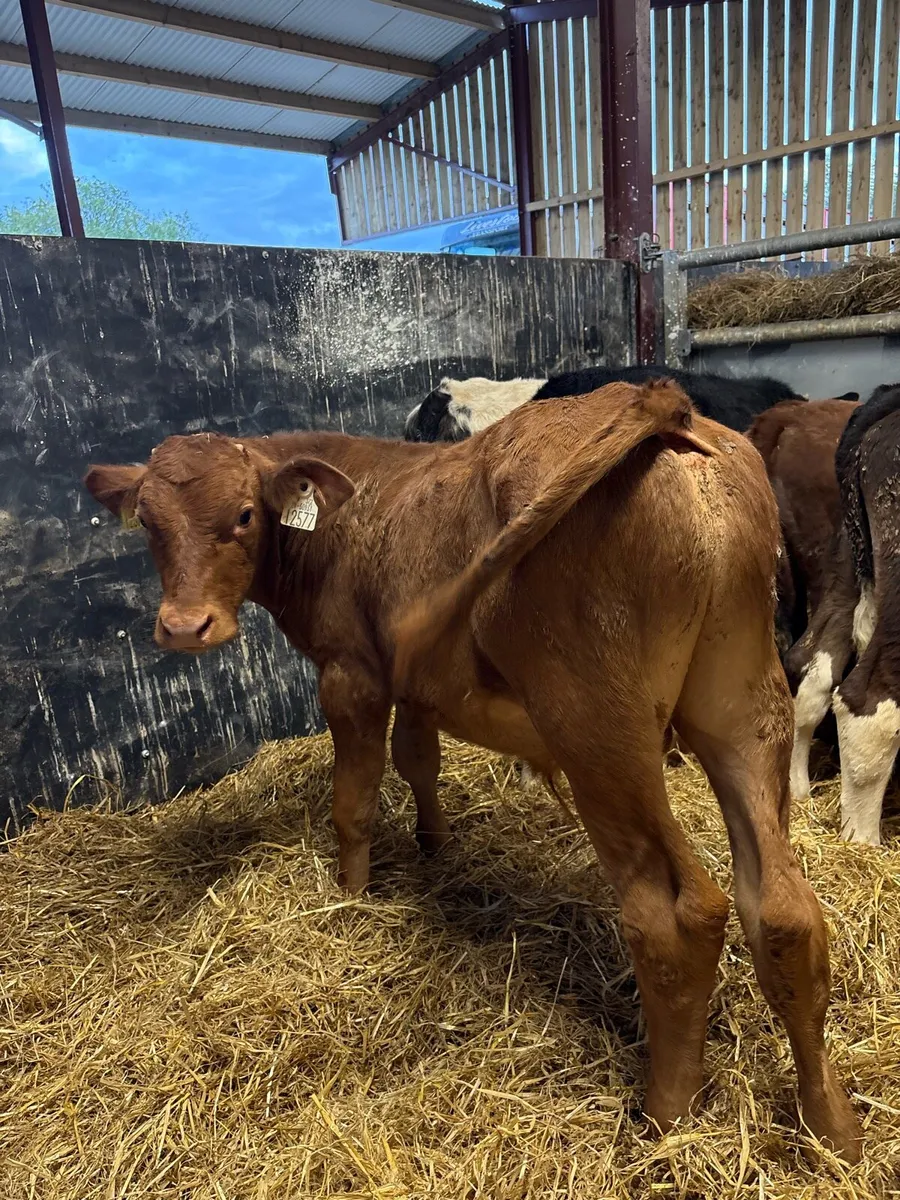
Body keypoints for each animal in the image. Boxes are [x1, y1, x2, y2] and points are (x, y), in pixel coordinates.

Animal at [84, 381, 859, 1160]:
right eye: (147, 521)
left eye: (243, 515)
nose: (185, 627)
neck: (345, 515)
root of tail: (662, 407)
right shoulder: (419, 683)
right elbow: (417, 760)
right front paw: (433, 845)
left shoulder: (350, 675)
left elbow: (355, 799)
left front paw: (351, 895)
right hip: (740, 703)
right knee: (784, 908)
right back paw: (830, 1123)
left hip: (598, 728)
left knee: (677, 914)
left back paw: (666, 1115)